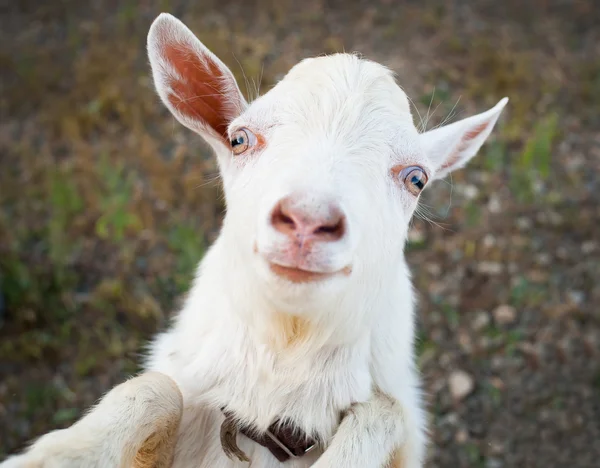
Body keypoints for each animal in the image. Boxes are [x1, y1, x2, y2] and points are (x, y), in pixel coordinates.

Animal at [0, 13, 508, 468]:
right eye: (239, 139)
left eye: (417, 178)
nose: (308, 220)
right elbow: (151, 390)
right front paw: (54, 457)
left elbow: (382, 416)